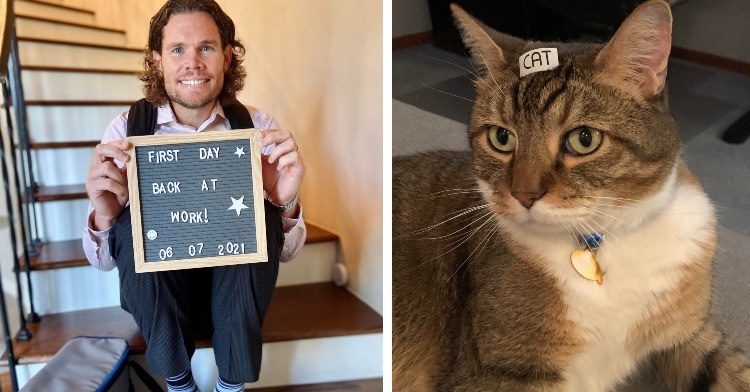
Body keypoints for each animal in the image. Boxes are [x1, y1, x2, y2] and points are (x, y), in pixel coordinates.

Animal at [394, 1, 750, 390]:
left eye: (584, 139)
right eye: (501, 138)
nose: (524, 194)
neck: (604, 239)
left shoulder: (689, 337)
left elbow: (734, 368)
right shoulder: (490, 372)